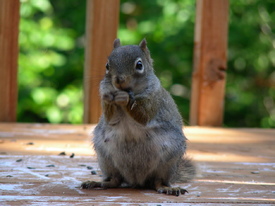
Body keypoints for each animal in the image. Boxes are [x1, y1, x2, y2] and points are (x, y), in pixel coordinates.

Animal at [81, 38, 195, 196]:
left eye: (139, 65)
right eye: (107, 65)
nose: (118, 80)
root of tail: (137, 180)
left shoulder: (153, 100)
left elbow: (143, 116)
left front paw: (126, 99)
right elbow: (111, 119)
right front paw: (110, 97)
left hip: (168, 162)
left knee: (157, 182)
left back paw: (167, 188)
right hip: (106, 158)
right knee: (115, 180)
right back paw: (97, 183)